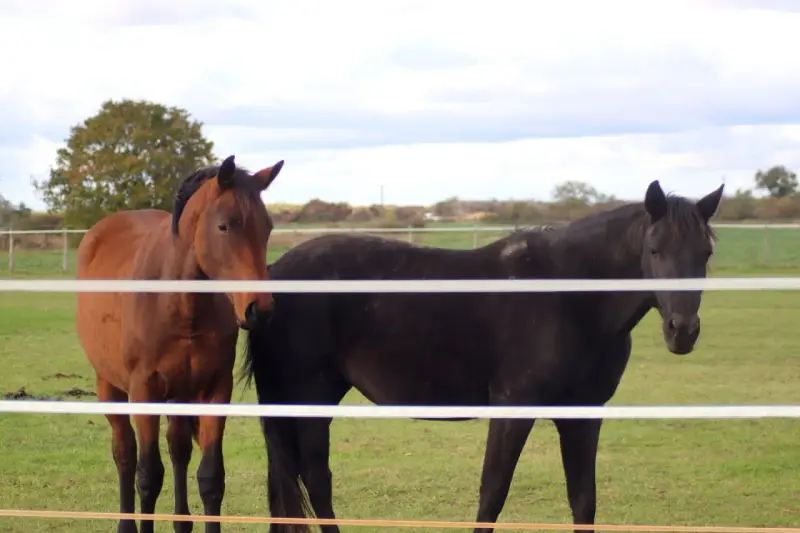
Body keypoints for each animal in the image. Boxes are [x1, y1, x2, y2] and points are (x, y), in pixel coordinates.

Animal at [75, 154, 284, 533]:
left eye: (268, 227)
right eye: (224, 226)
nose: (259, 309)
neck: (179, 304)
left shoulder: (215, 389)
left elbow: (211, 477)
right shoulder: (144, 390)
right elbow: (148, 476)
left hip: (179, 393)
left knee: (178, 448)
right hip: (109, 385)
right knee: (125, 453)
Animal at [242, 179, 724, 533]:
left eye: (705, 253)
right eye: (655, 250)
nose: (682, 331)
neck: (570, 296)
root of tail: (275, 275)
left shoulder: (583, 414)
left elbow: (583, 499)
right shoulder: (513, 408)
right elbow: (493, 493)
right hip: (311, 396)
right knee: (314, 479)